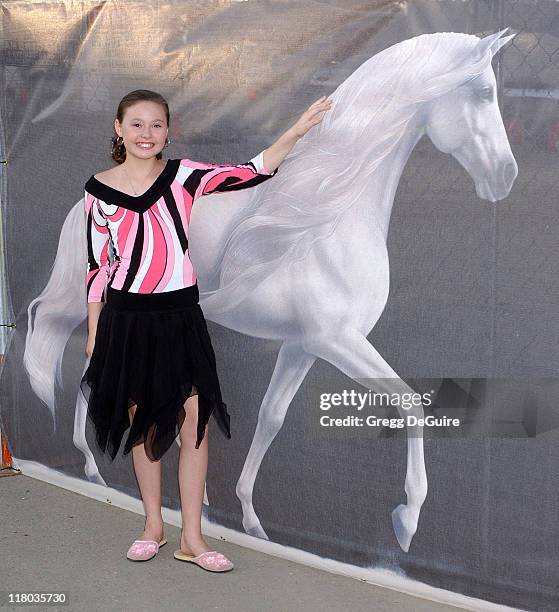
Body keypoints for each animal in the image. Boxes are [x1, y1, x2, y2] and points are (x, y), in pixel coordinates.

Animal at [24, 29, 520, 556]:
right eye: (484, 93)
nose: (505, 175)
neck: (328, 220)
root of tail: (84, 209)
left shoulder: (302, 345)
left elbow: (272, 417)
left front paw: (250, 517)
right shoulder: (337, 340)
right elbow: (411, 404)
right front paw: (406, 522)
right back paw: (91, 466)